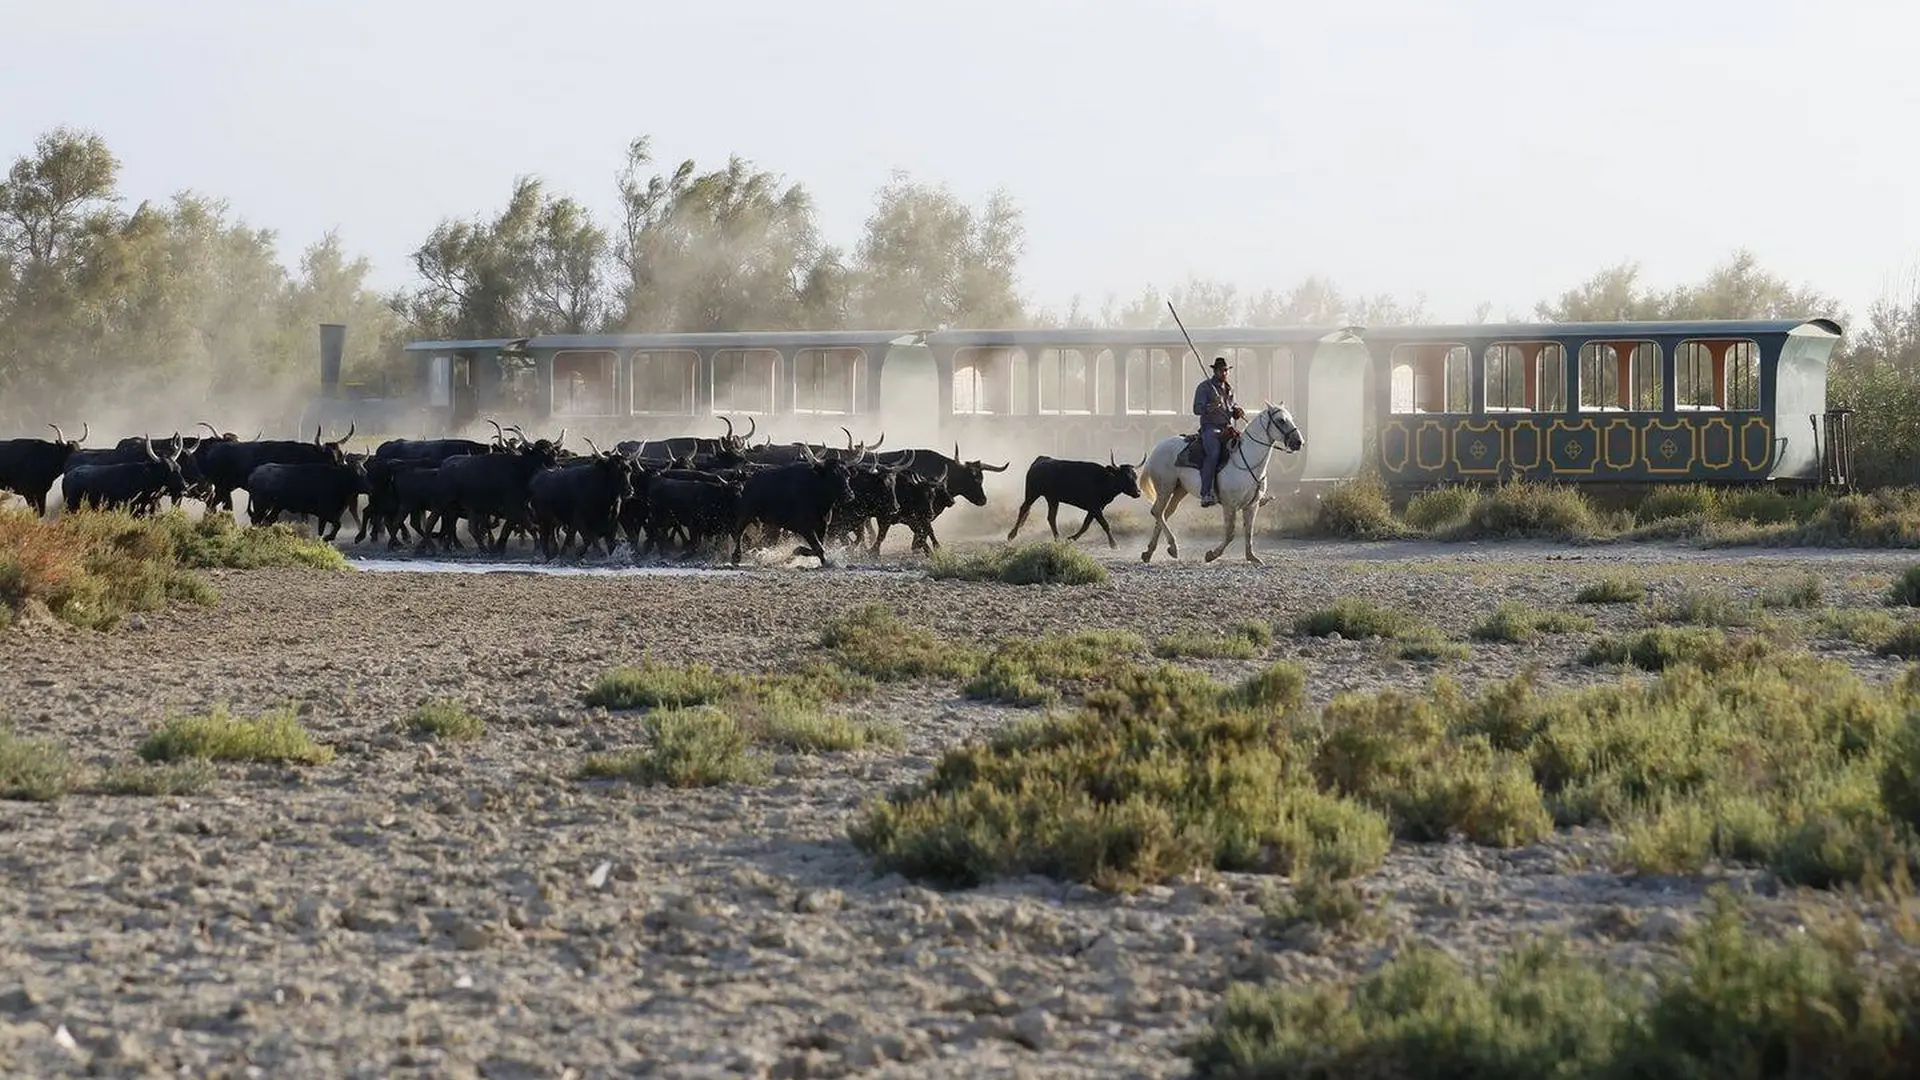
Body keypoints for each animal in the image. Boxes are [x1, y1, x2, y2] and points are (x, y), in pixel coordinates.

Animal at [1136, 397, 1305, 564]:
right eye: (1281, 420)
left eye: (1291, 418)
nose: (1299, 442)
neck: (1247, 460)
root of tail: (1158, 448)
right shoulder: (1230, 505)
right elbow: (1230, 534)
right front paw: (1211, 555)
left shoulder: (1252, 505)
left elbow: (1249, 531)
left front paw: (1252, 557)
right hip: (1165, 488)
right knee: (1157, 512)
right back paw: (1172, 546)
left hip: (1179, 490)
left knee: (1164, 514)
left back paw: (1150, 552)